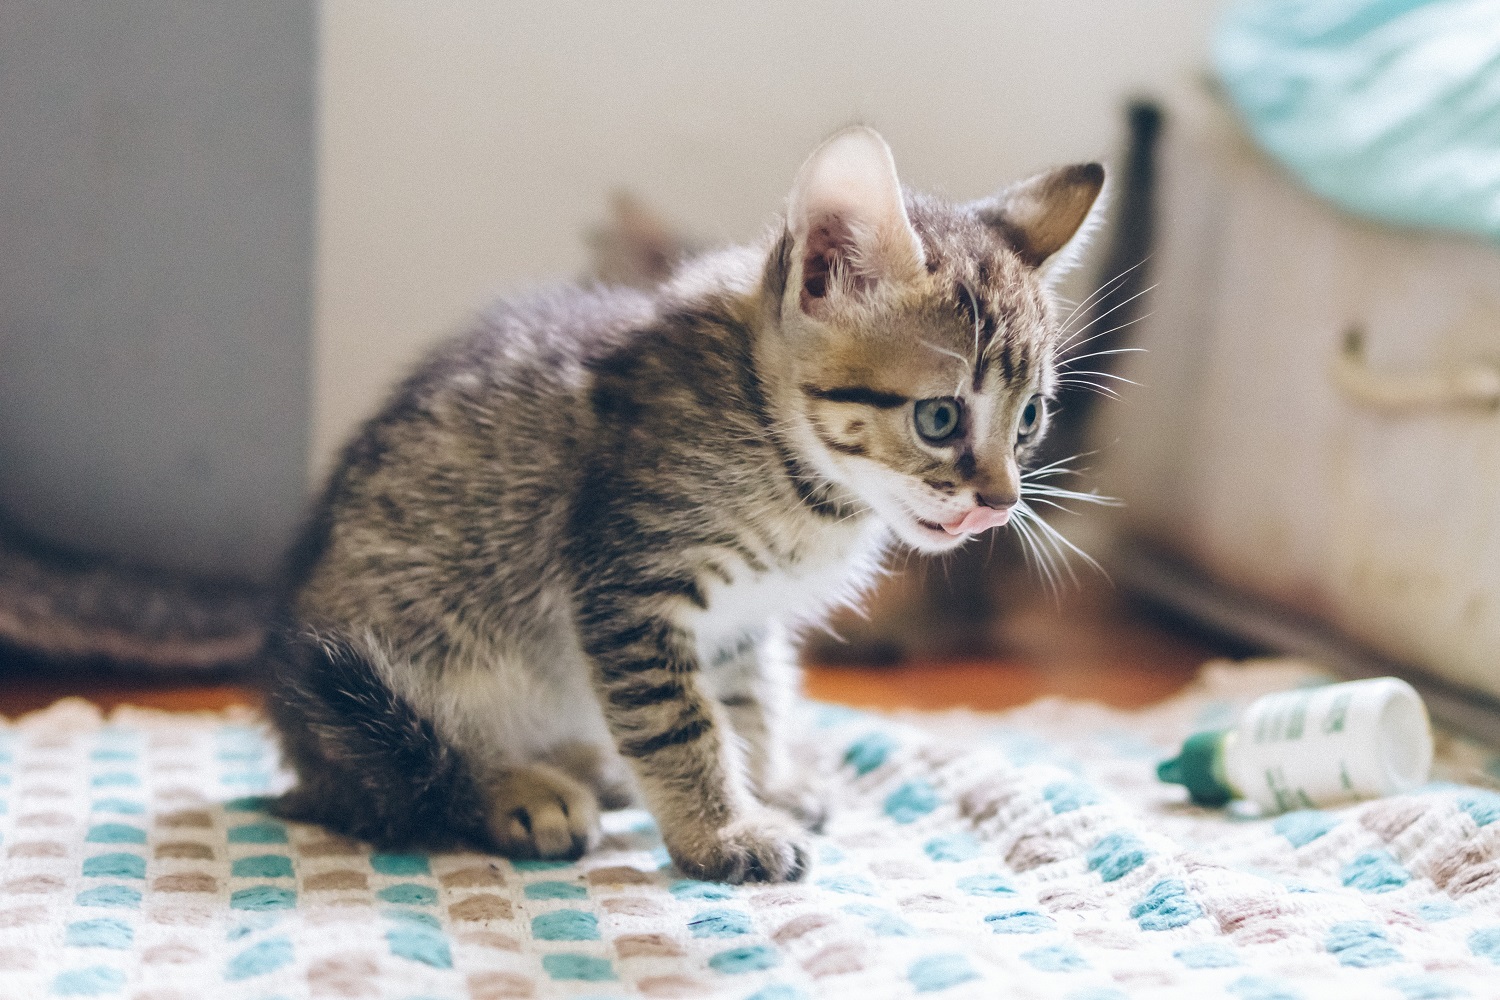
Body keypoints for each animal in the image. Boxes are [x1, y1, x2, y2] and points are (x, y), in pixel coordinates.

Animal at [270, 127, 1104, 881]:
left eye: (1030, 419)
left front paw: (761, 786)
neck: (790, 465)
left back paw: (590, 766)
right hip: (404, 662)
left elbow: (746, 702)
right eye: (939, 418)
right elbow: (679, 722)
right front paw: (724, 832)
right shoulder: (628, 584)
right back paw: (521, 789)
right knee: (413, 772)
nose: (1000, 504)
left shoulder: (737, 618)